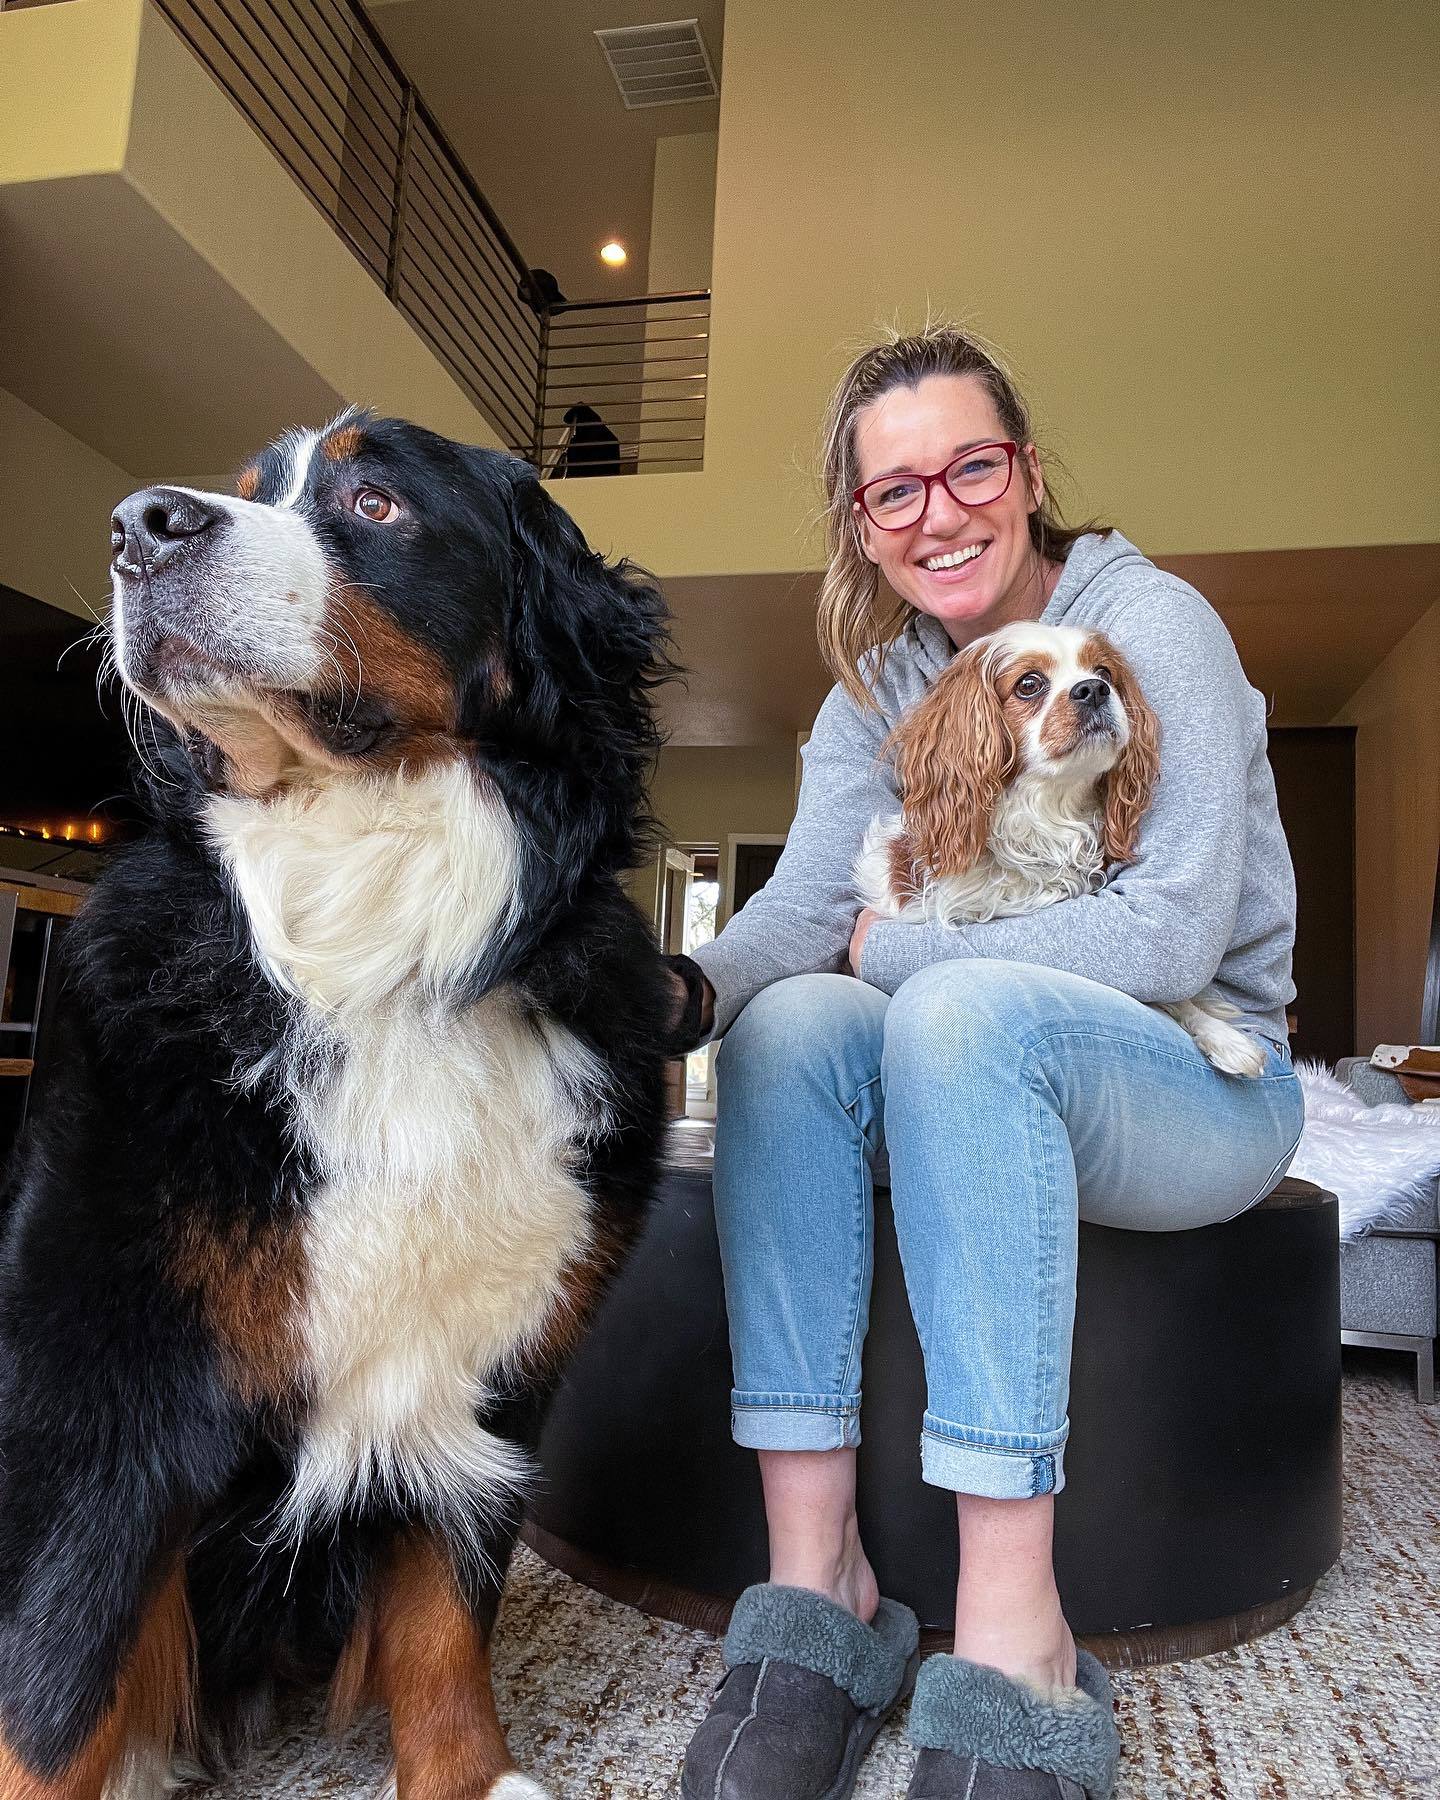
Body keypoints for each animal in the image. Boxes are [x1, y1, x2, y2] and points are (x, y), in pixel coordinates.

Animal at [0, 412, 698, 1800]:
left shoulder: (488, 1365)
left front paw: (469, 1776)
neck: (377, 942)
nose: (139, 525)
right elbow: (58, 1679)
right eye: (245, 487)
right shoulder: (98, 1376)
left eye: (375, 501)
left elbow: (442, 1604)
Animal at [860, 619, 1267, 1072]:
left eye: (1104, 672)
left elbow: (1175, 997)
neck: (1046, 816)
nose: (1093, 689)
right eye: (1029, 684)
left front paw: (1221, 1034)